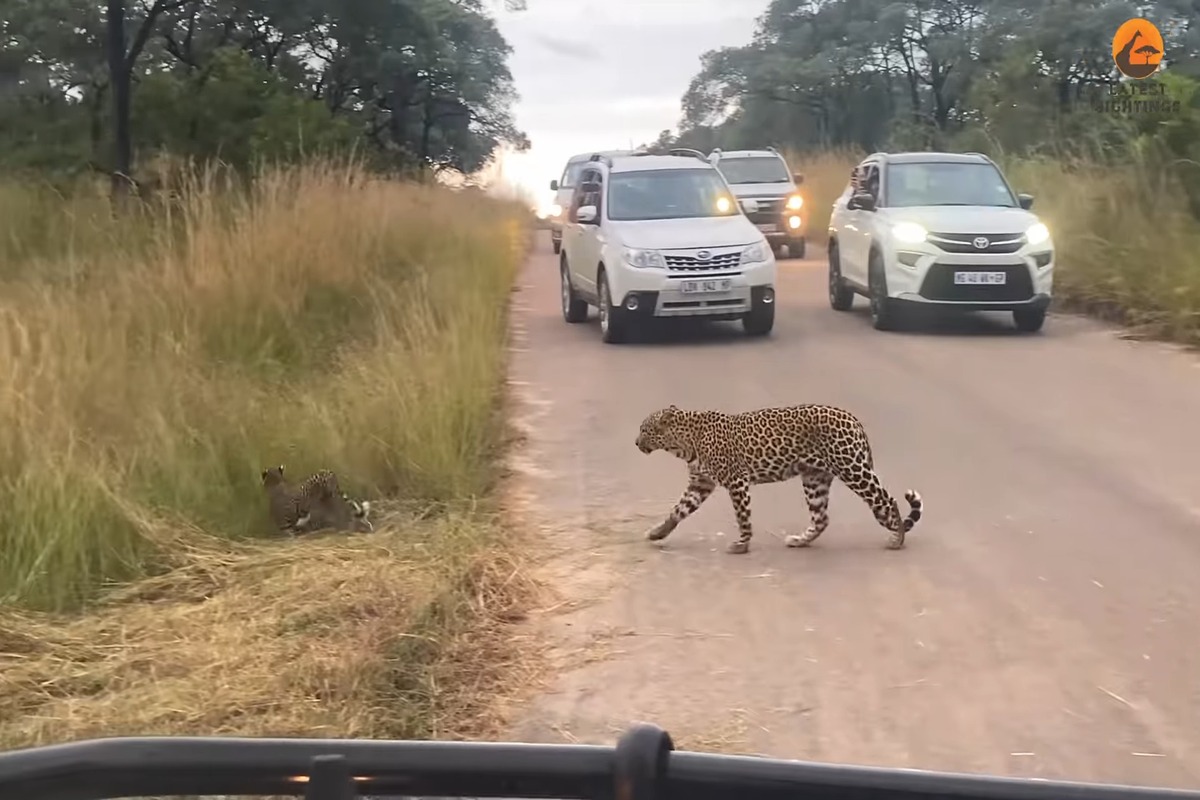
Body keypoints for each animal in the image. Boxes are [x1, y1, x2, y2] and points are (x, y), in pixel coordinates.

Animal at [634, 404, 923, 554]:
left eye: (644, 429)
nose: (636, 442)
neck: (683, 444)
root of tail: (853, 418)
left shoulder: (736, 481)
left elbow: (742, 516)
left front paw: (742, 544)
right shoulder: (700, 483)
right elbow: (678, 510)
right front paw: (658, 532)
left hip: (852, 468)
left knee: (888, 500)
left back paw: (897, 539)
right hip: (815, 478)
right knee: (822, 518)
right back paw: (799, 540)